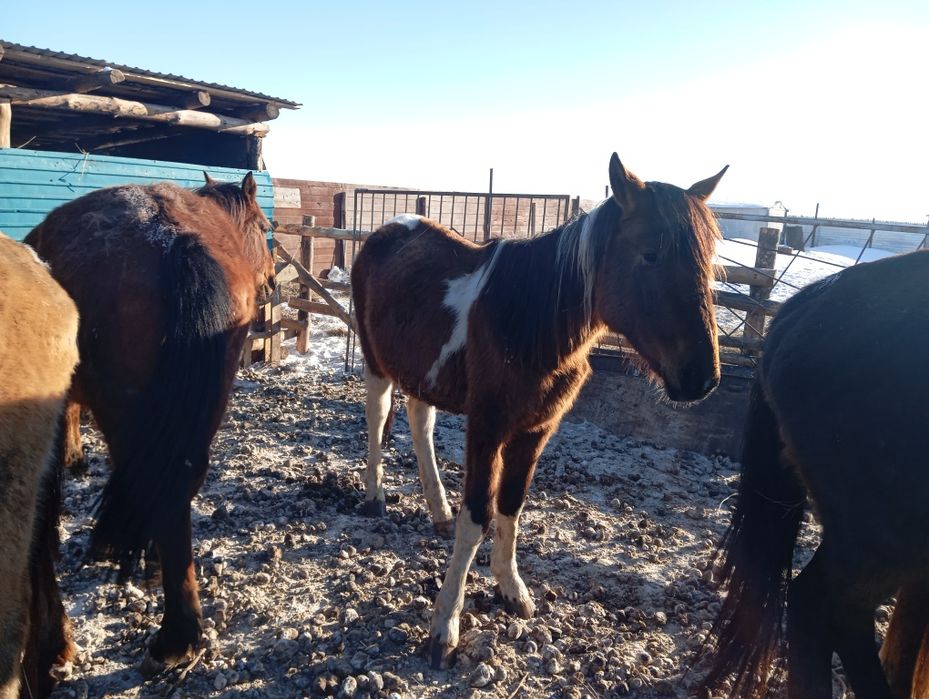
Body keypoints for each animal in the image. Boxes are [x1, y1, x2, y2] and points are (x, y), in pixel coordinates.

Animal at [351, 152, 727, 667]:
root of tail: (388, 231)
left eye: (707, 258)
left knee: (420, 422)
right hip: (376, 363)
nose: (701, 378)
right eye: (650, 253)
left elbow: (511, 506)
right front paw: (445, 625)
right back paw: (375, 495)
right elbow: (477, 518)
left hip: (421, 371)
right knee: (377, 418)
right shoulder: (487, 428)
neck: (531, 324)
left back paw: (437, 508)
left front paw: (512, 590)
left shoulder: (535, 431)